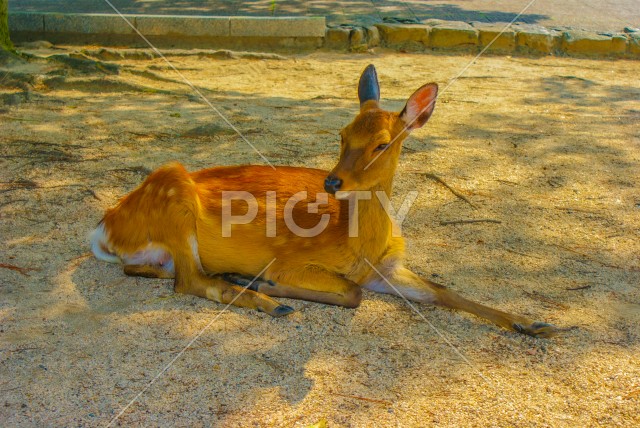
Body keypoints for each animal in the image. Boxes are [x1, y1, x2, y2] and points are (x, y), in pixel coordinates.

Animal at [90, 63, 556, 338]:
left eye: (383, 143)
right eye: (342, 133)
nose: (333, 181)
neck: (358, 245)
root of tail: (103, 228)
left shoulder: (387, 267)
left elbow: (441, 290)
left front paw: (534, 322)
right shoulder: (293, 258)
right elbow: (353, 293)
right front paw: (264, 282)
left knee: (160, 272)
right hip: (173, 194)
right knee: (188, 281)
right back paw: (268, 300)